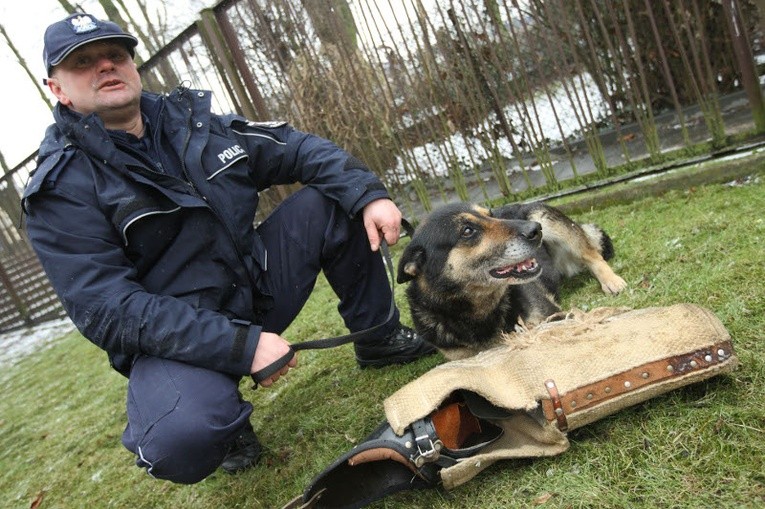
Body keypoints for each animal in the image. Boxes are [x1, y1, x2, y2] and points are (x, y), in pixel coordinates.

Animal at [396, 200, 624, 360]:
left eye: (490, 215)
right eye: (467, 231)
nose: (535, 230)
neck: (477, 310)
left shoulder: (552, 317)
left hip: (548, 219)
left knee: (592, 254)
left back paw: (611, 280)